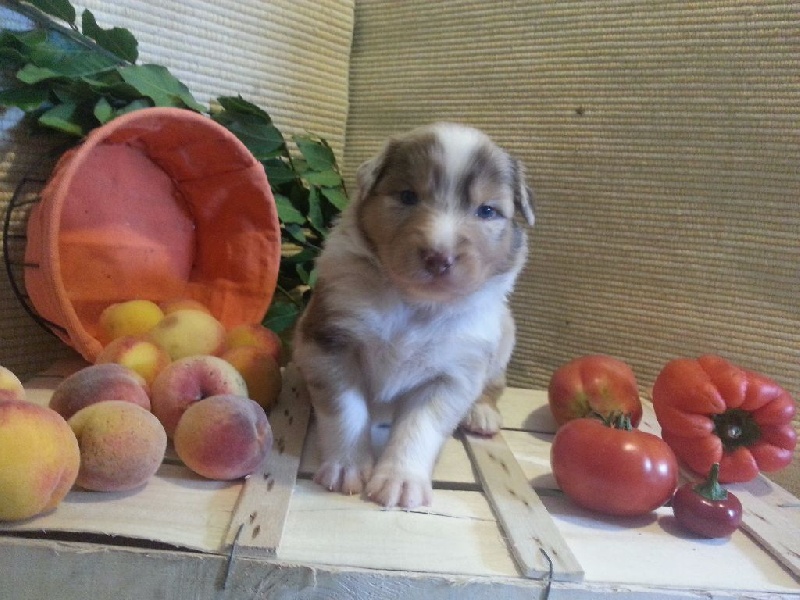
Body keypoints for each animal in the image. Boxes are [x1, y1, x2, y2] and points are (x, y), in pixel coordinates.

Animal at [292, 123, 535, 508]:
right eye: (407, 196)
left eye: (486, 211)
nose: (439, 258)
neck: (415, 304)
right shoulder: (328, 339)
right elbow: (346, 409)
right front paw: (347, 468)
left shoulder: (453, 373)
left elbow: (420, 427)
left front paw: (400, 481)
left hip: (503, 341)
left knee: (493, 386)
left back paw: (481, 414)